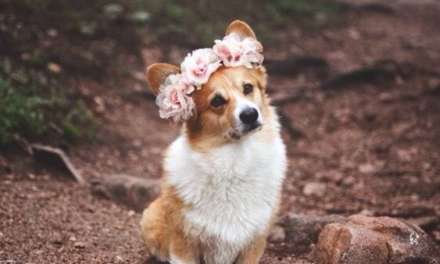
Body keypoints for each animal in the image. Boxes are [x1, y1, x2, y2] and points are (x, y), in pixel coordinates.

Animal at [140, 20, 286, 264]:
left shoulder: (254, 244)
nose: (250, 114)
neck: (236, 160)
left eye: (248, 88)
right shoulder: (184, 244)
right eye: (217, 101)